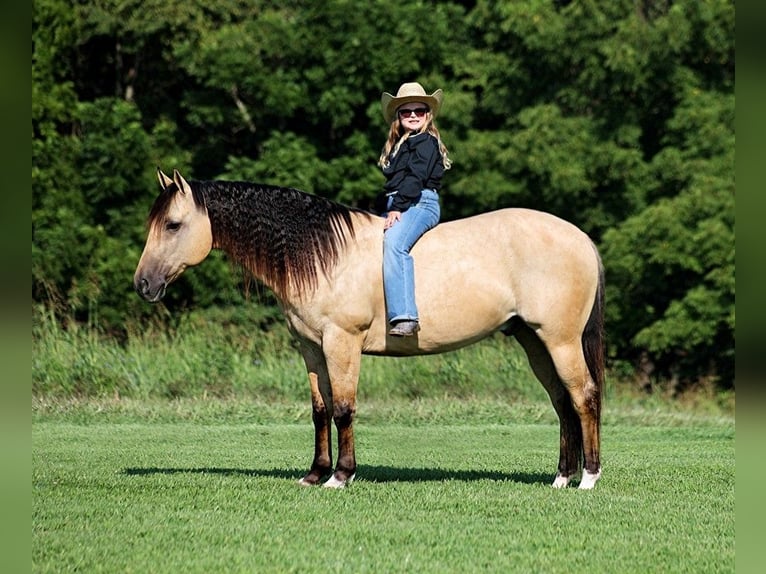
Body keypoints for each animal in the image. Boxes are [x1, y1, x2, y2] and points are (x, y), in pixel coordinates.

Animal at [134, 168, 605, 489]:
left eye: (173, 224)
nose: (143, 285)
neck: (322, 254)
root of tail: (581, 238)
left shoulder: (341, 342)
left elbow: (344, 408)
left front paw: (341, 476)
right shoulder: (311, 348)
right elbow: (320, 410)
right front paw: (314, 473)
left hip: (561, 341)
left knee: (583, 397)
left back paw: (588, 478)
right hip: (535, 343)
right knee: (562, 403)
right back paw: (561, 477)